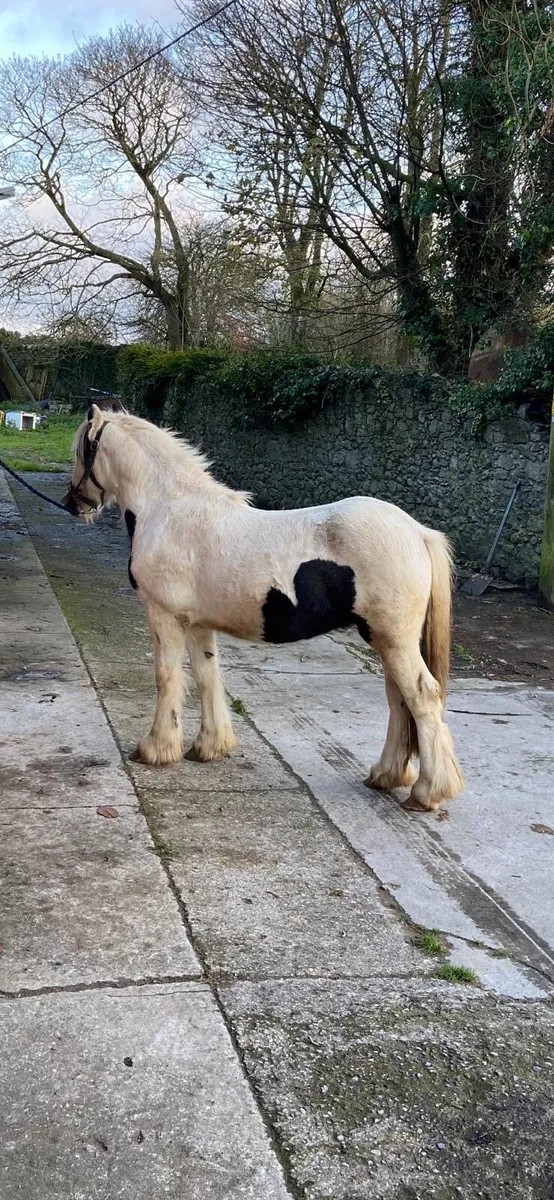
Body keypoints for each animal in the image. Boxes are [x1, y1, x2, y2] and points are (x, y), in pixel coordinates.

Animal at [64, 403, 464, 812]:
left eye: (80, 451)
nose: (72, 503)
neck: (171, 510)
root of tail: (418, 532)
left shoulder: (165, 616)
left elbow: (167, 678)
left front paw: (156, 749)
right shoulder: (197, 624)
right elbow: (207, 676)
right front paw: (210, 746)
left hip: (394, 640)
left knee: (422, 697)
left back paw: (427, 792)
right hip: (387, 641)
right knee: (399, 701)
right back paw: (386, 775)